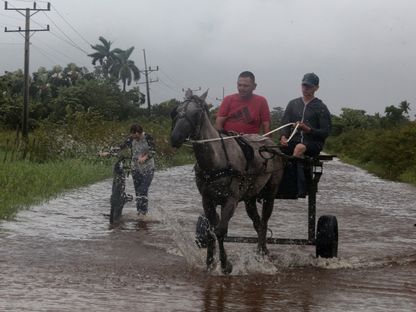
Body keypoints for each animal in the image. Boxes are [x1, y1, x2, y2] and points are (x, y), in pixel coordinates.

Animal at [170, 90, 282, 272]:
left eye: (197, 113)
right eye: (175, 111)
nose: (175, 137)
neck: (216, 160)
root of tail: (269, 142)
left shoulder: (231, 200)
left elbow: (221, 231)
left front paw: (225, 264)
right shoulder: (207, 200)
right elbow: (210, 232)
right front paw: (210, 262)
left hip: (270, 193)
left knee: (264, 222)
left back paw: (262, 253)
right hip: (250, 198)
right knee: (258, 224)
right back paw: (260, 252)